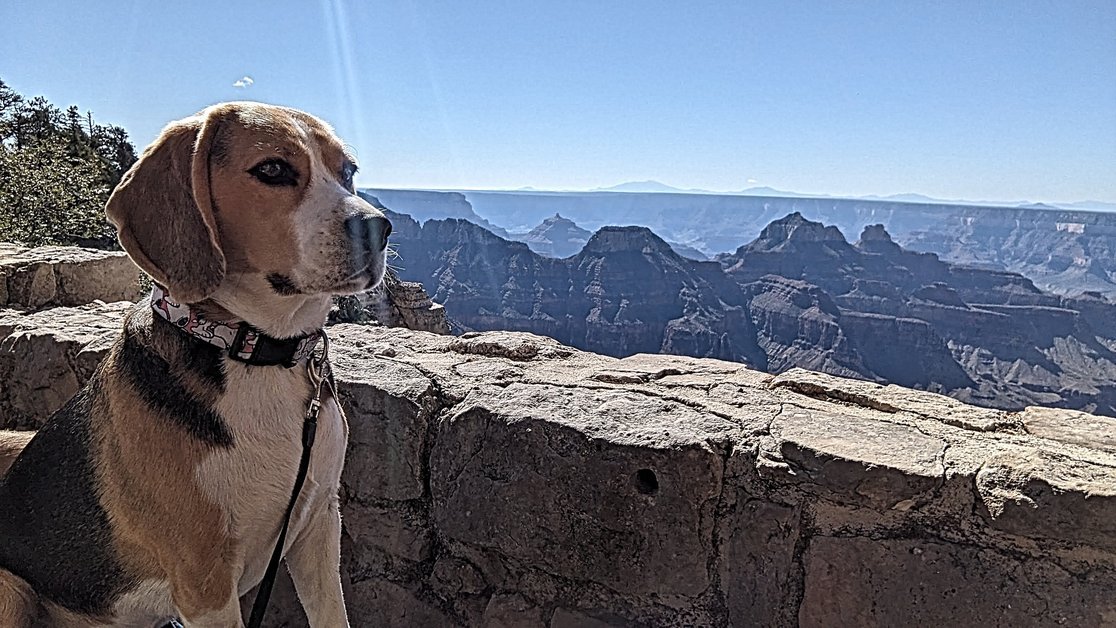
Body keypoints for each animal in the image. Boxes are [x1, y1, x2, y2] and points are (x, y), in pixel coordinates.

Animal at [0, 100, 392, 624]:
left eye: (347, 172)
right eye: (273, 169)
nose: (380, 228)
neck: (258, 354)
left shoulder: (317, 526)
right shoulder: (204, 582)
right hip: (11, 590)